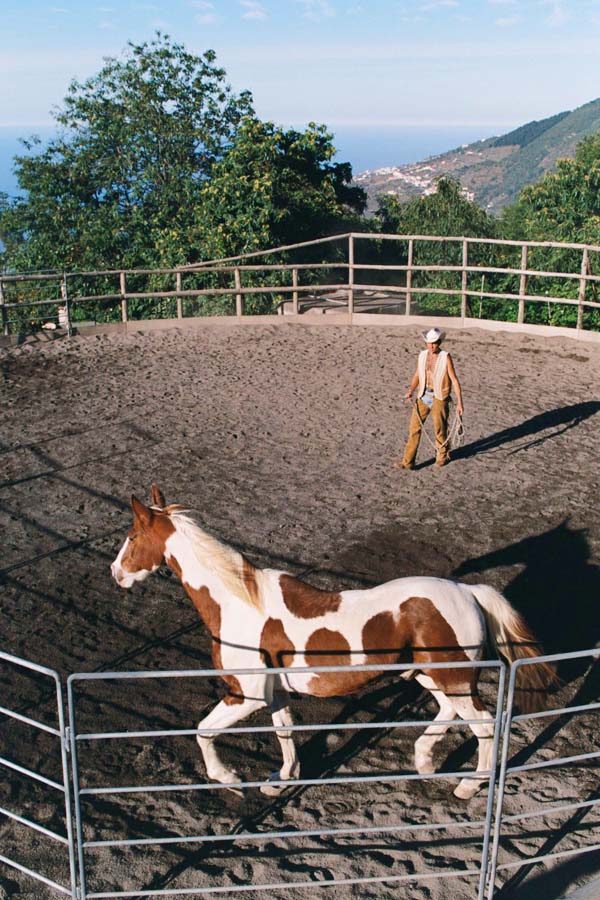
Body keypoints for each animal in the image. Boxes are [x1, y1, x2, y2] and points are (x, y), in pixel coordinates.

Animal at [110, 486, 556, 800]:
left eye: (131, 535)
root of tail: (468, 591)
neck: (238, 602)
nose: (115, 573)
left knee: (483, 725)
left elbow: (202, 731)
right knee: (450, 714)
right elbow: (285, 733)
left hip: (455, 679)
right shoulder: (275, 693)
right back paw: (424, 761)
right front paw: (280, 780)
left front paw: (230, 778)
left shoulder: (245, 695)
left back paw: (468, 785)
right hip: (434, 677)